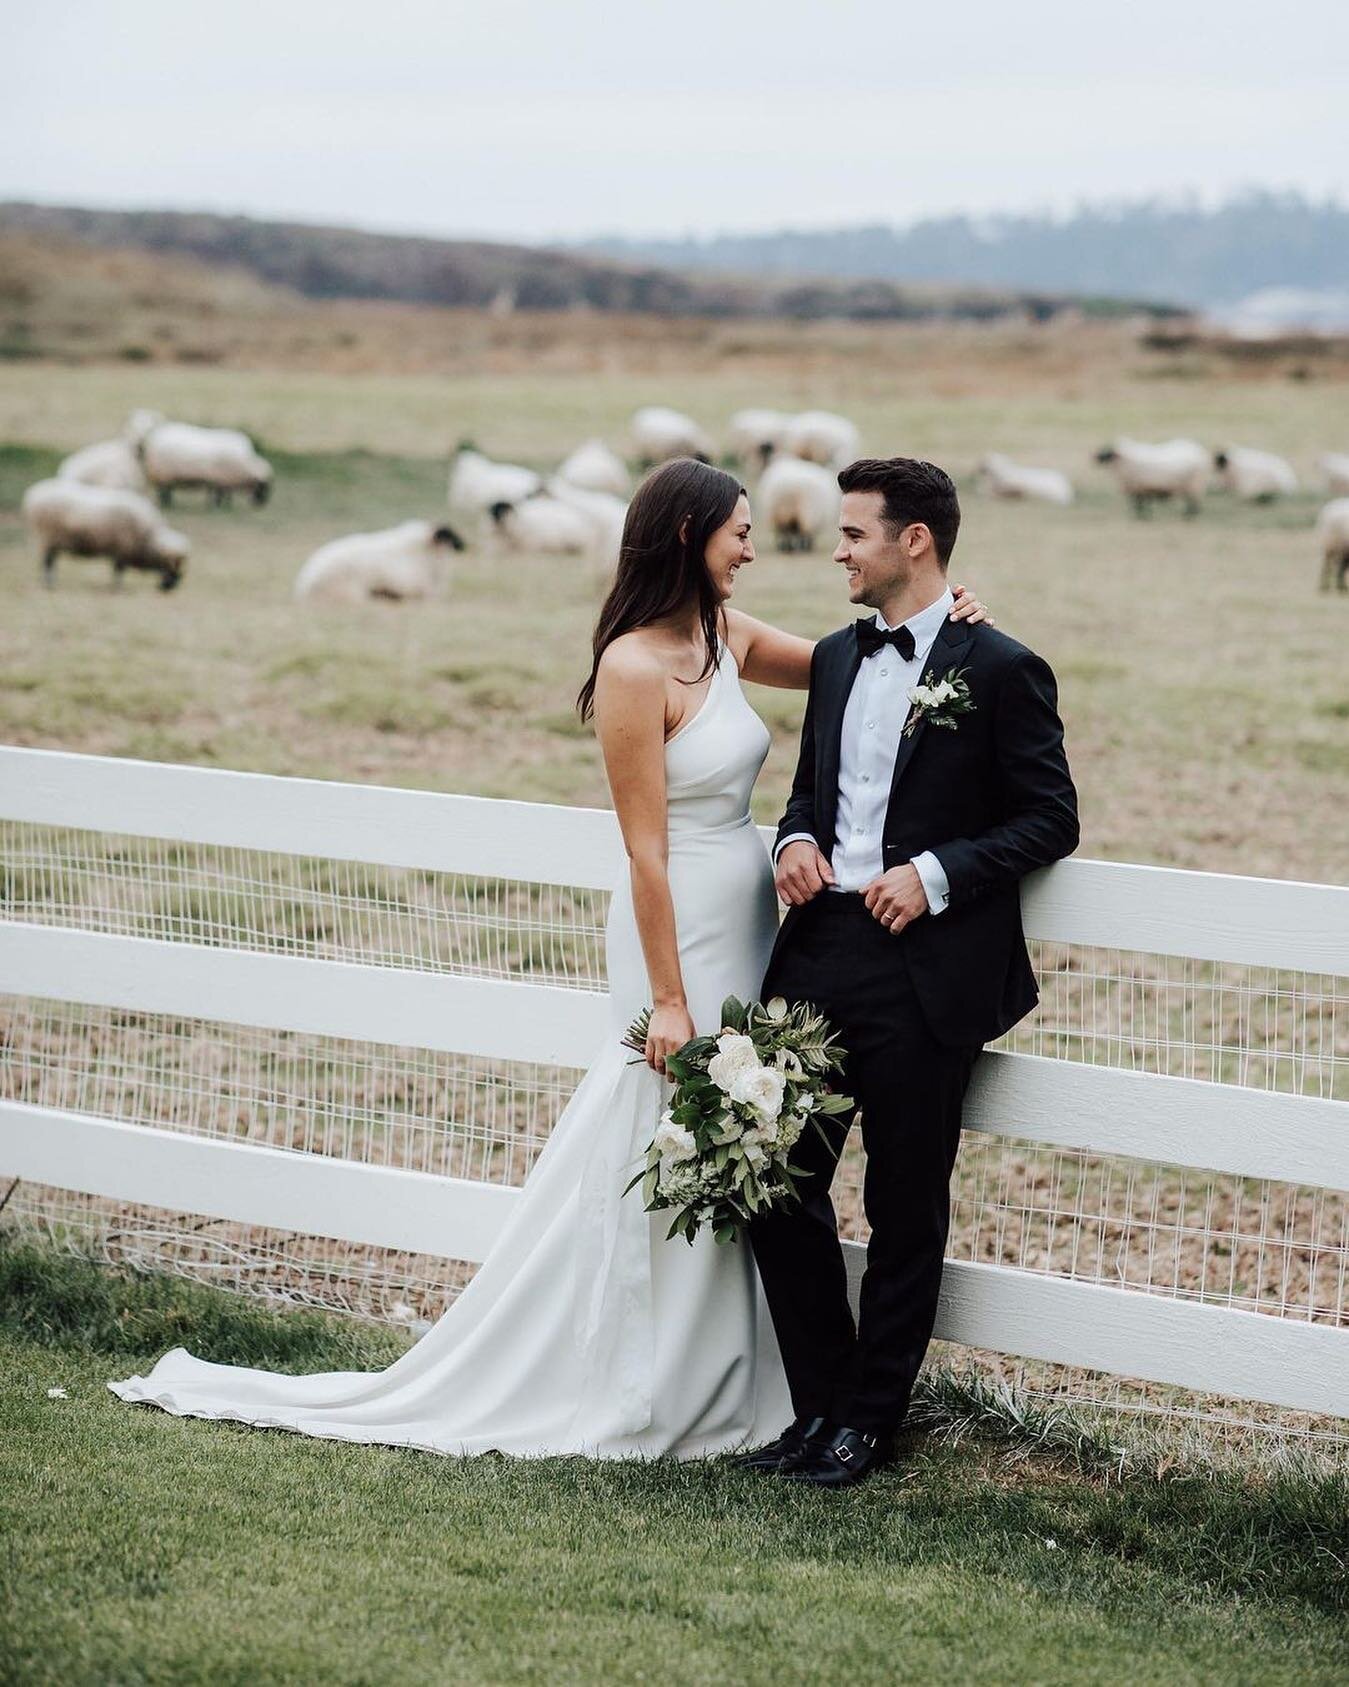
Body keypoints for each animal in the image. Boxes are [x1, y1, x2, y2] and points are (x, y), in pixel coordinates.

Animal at [21, 479, 189, 590]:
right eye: (171, 566)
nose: (169, 589)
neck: (148, 538)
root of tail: (32, 495)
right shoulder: (122, 550)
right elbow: (119, 570)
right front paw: (117, 587)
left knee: (49, 562)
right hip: (46, 539)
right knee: (47, 563)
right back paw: (49, 584)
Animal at [138, 418, 273, 502]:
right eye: (264, 486)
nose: (261, 505)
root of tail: (152, 436)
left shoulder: (222, 479)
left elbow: (221, 494)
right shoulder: (222, 479)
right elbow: (219, 495)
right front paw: (219, 506)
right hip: (164, 475)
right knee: (164, 492)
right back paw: (167, 503)